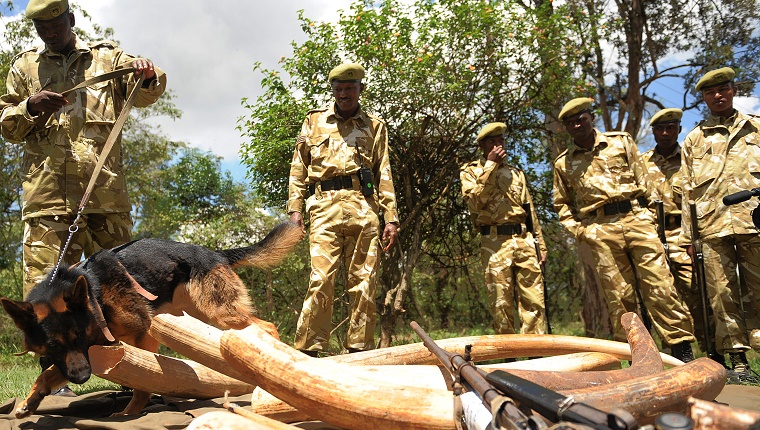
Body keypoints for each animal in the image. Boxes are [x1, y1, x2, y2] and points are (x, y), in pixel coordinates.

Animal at [1, 222, 302, 416]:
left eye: (80, 337)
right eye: (52, 346)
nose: (82, 377)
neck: (95, 294)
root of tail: (215, 253)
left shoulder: (141, 335)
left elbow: (141, 383)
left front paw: (129, 414)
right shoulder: (87, 352)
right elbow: (49, 372)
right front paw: (30, 400)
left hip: (221, 313)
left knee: (266, 326)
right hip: (201, 315)